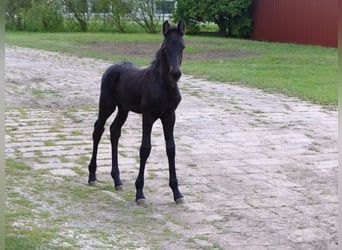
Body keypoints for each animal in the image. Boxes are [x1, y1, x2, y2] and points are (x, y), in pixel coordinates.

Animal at [87, 20, 186, 204]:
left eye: (183, 46)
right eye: (165, 48)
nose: (175, 73)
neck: (164, 85)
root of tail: (111, 68)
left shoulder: (169, 116)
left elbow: (171, 149)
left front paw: (177, 193)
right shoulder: (148, 116)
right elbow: (145, 148)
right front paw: (139, 192)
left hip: (123, 109)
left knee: (114, 131)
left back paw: (117, 181)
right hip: (107, 105)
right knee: (98, 130)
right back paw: (92, 176)